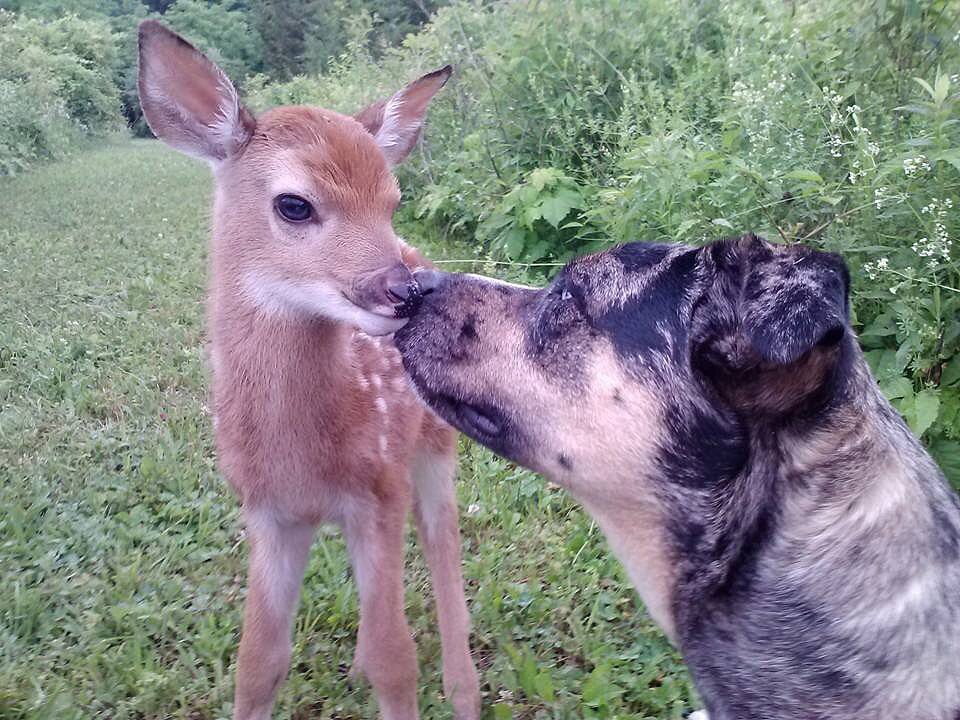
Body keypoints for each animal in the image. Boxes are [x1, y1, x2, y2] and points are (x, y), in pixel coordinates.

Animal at [137, 19, 480, 716]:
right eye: (295, 204)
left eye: (393, 199)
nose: (404, 291)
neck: (303, 458)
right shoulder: (267, 513)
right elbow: (257, 661)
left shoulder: (377, 488)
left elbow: (397, 659)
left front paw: (399, 677)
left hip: (434, 441)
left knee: (442, 541)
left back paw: (464, 690)